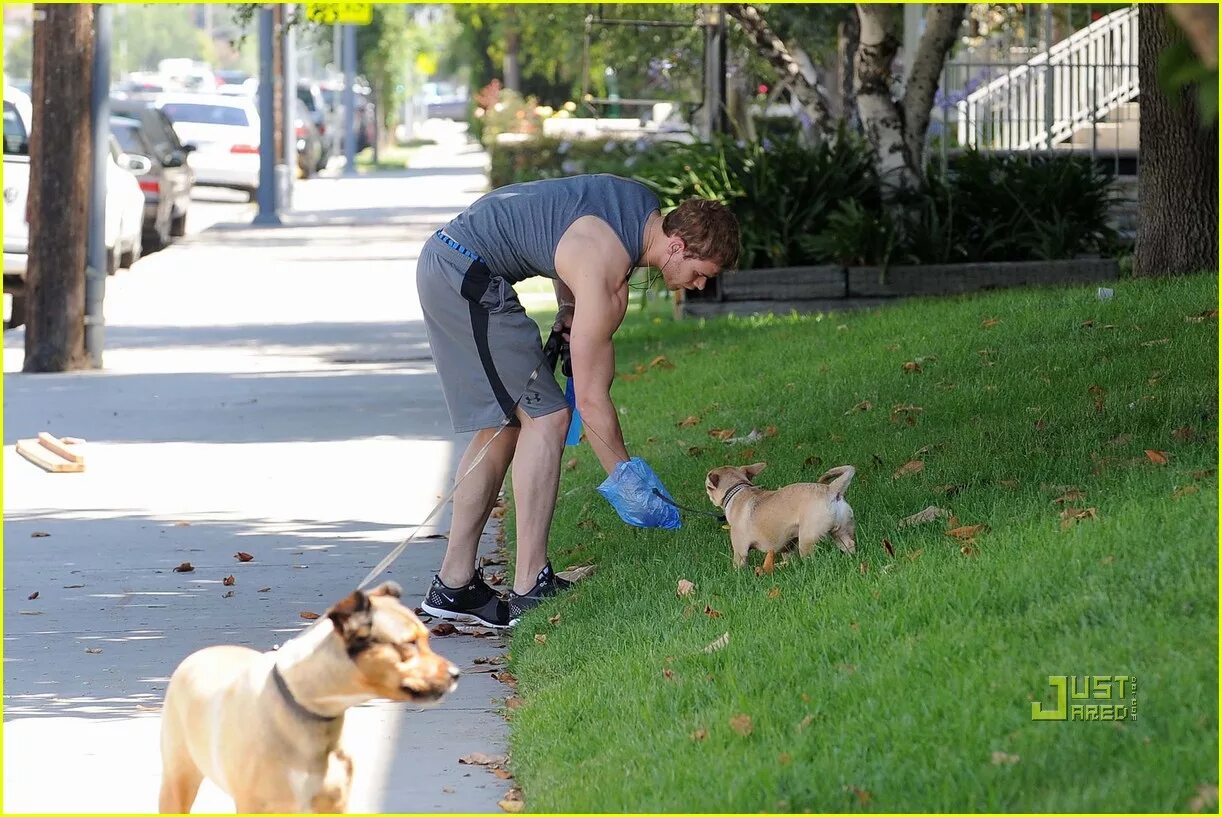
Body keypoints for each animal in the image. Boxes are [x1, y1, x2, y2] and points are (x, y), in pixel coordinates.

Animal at [155, 578, 457, 810]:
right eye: (409, 644)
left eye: (427, 639)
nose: (456, 674)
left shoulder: (334, 803)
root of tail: (201, 653)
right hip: (178, 779)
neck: (309, 708)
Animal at [708, 459, 860, 566]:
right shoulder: (787, 547)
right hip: (842, 531)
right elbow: (788, 557)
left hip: (807, 538)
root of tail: (832, 490)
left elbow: (738, 565)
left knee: (810, 556)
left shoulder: (740, 551)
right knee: (848, 544)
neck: (737, 490)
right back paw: (851, 559)